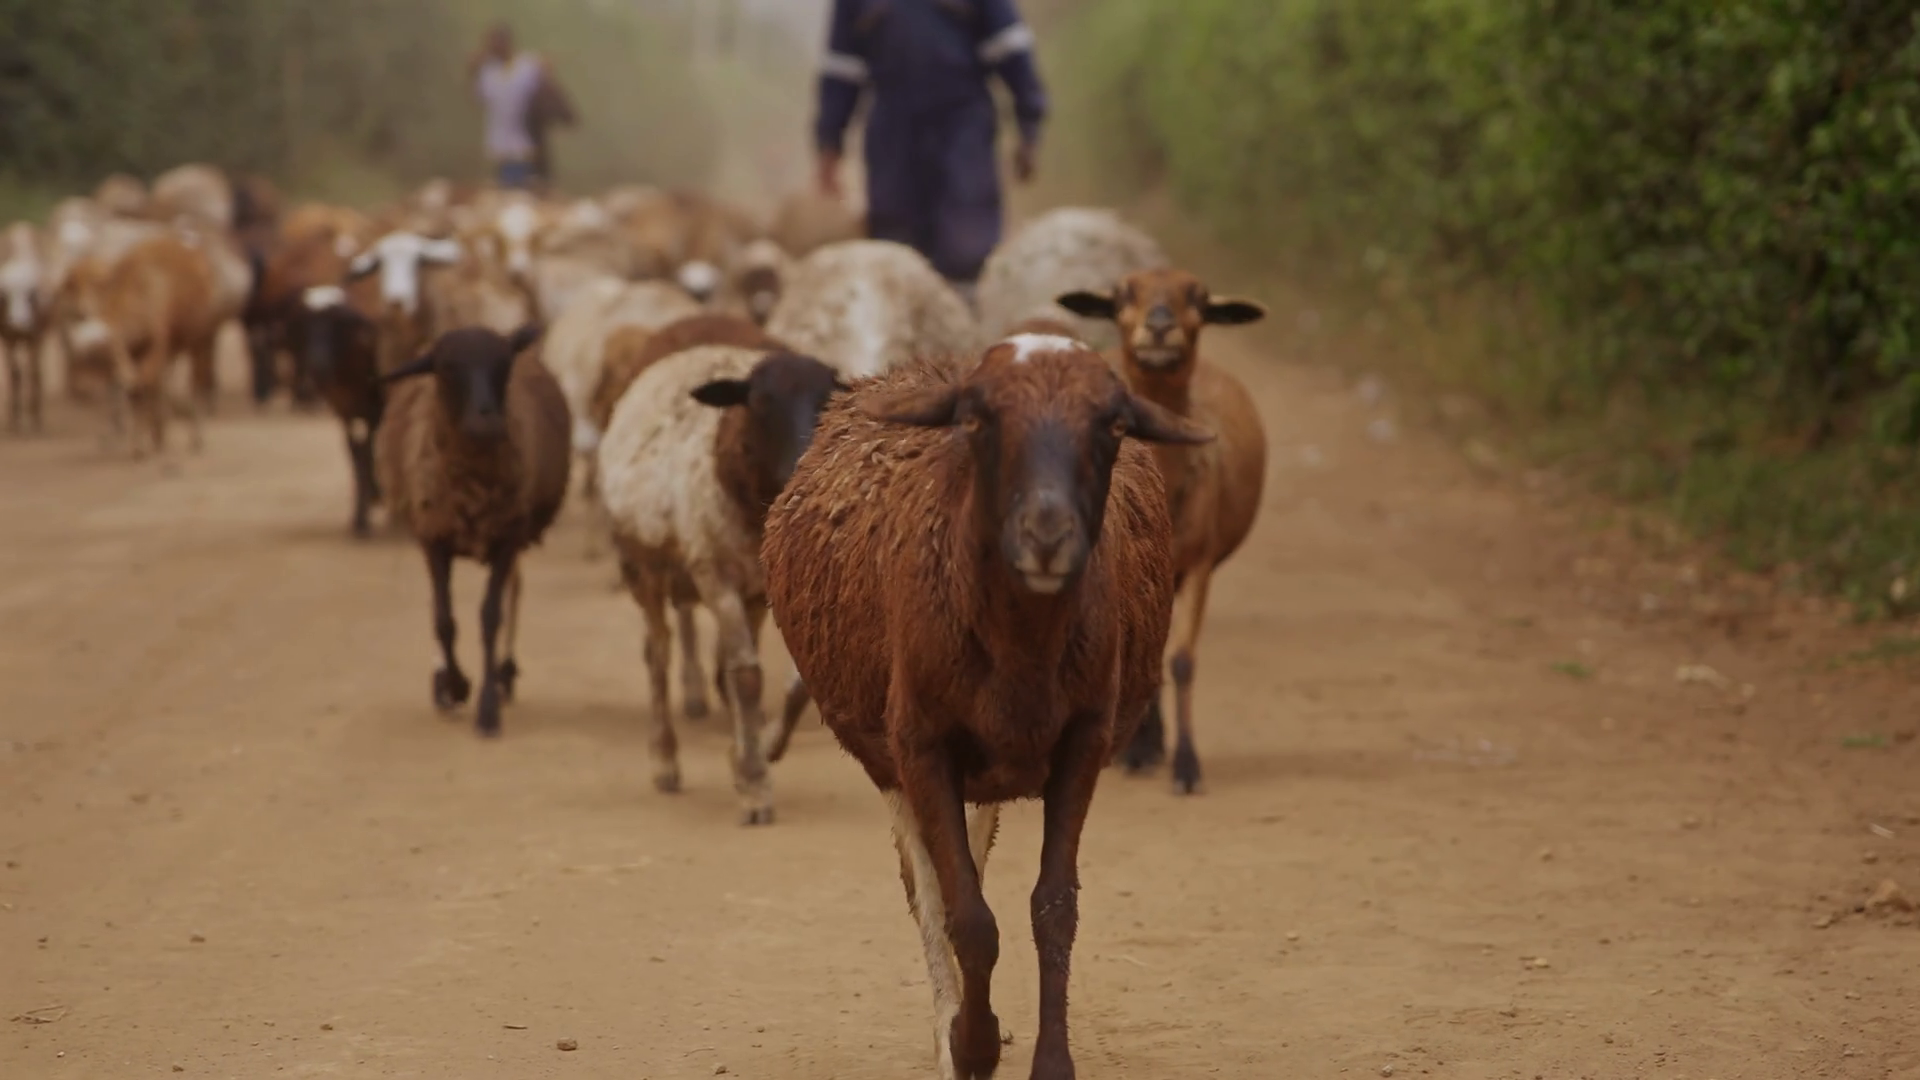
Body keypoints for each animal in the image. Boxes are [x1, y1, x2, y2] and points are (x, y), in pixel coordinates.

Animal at [374, 324, 572, 736]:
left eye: (503, 363)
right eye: (447, 368)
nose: (487, 420)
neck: (472, 486)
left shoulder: (507, 537)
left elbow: (490, 617)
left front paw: (487, 706)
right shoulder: (433, 537)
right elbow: (444, 620)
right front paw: (455, 685)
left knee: (514, 589)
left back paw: (504, 672)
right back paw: (444, 684)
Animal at [598, 342, 846, 824]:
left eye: (826, 402)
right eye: (760, 403)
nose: (803, 469)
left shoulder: (766, 591)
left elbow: (785, 681)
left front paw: (758, 750)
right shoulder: (714, 574)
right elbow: (746, 675)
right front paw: (753, 784)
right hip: (643, 569)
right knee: (657, 653)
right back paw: (664, 759)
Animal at [760, 336, 1210, 1078]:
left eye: (1113, 425)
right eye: (977, 420)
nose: (1047, 533)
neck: (1021, 650)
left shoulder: (1083, 740)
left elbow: (1053, 908)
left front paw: (1047, 1060)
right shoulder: (920, 744)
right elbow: (965, 916)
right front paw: (970, 1044)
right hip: (891, 760)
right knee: (927, 890)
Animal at [1057, 269, 1269, 793]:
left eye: (1198, 299)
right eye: (1121, 296)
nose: (1158, 327)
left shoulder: (1199, 564)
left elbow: (1182, 660)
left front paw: (1187, 767)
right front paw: (1139, 750)